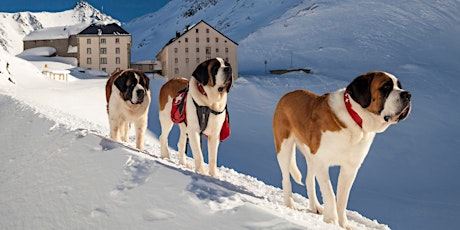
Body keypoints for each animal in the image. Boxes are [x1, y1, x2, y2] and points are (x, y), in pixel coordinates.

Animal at [274, 71, 414, 229]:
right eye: (386, 87)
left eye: (399, 86)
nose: (408, 94)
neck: (355, 119)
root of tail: (287, 95)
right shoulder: (322, 162)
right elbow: (330, 193)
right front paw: (331, 220)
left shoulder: (350, 168)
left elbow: (342, 198)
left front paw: (343, 224)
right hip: (284, 148)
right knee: (286, 177)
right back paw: (289, 204)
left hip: (311, 156)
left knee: (309, 180)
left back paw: (315, 206)